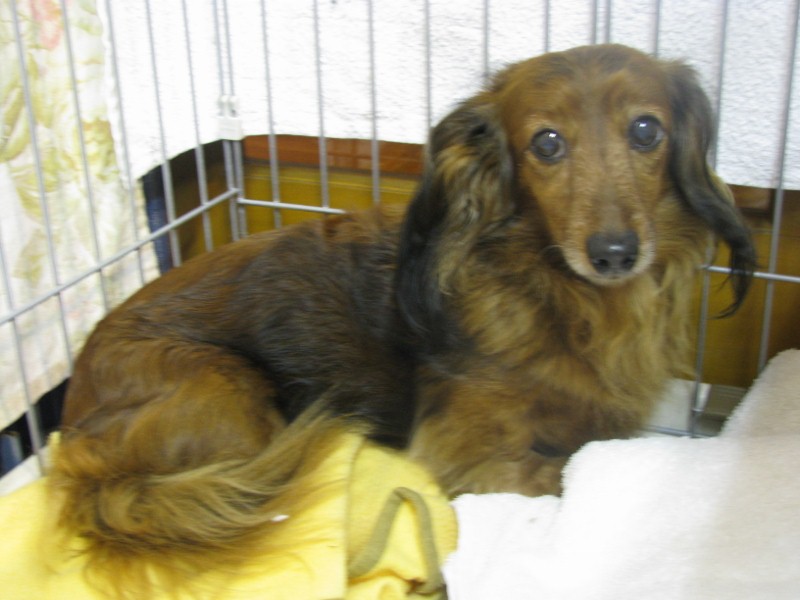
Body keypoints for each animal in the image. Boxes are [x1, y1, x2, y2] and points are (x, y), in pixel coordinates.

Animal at [53, 44, 755, 591]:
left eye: (646, 131)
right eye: (547, 142)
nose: (614, 253)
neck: (561, 298)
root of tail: (72, 430)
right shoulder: (471, 457)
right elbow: (560, 475)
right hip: (231, 392)